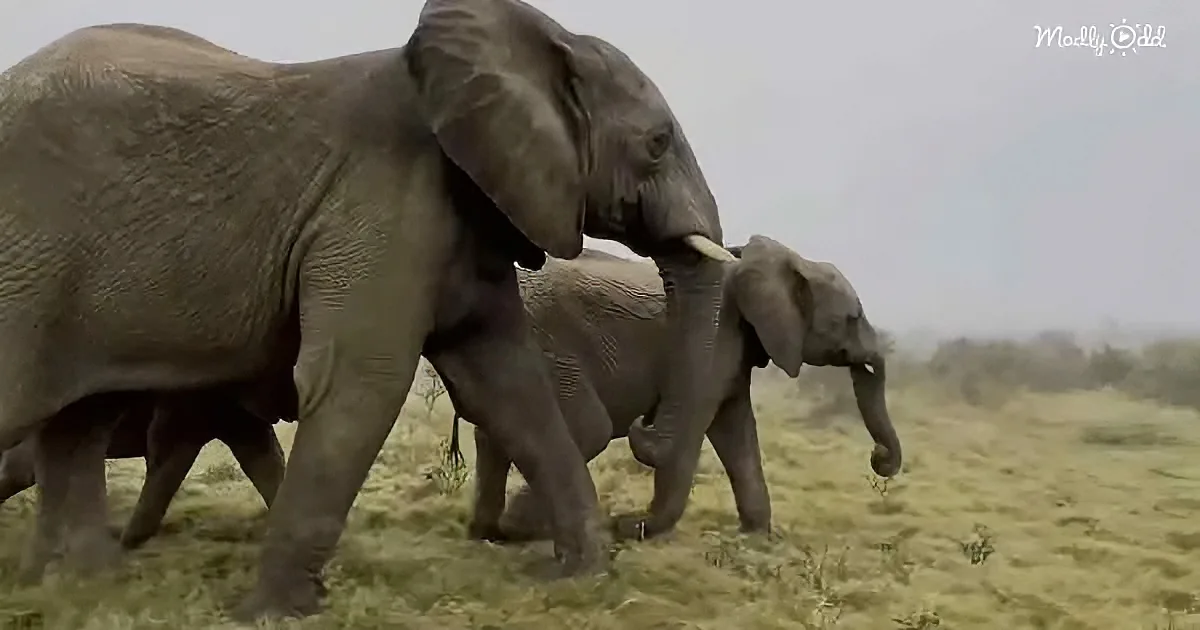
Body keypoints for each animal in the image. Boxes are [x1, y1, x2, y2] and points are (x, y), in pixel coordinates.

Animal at [0, 0, 732, 620]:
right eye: (657, 143)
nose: (644, 435)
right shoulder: (386, 196)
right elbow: (365, 379)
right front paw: (275, 614)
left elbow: (507, 383)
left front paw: (580, 576)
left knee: (77, 425)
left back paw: (79, 589)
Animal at [445, 236, 901, 542]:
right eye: (851, 318)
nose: (878, 458)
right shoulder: (716, 339)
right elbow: (697, 429)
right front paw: (633, 527)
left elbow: (736, 430)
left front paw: (756, 538)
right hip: (543, 343)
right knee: (585, 429)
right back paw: (528, 529)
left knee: (495, 436)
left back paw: (492, 530)